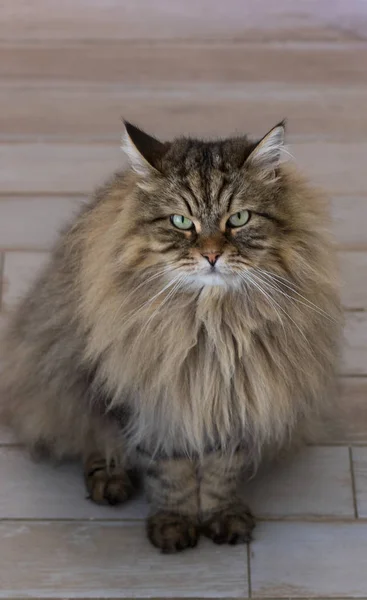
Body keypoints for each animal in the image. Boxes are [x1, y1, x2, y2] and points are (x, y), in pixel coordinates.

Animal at [0, 120, 342, 552]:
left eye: (239, 218)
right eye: (181, 222)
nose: (211, 255)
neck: (213, 328)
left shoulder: (235, 400)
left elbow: (220, 473)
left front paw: (222, 518)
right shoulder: (153, 405)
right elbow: (170, 475)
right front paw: (174, 526)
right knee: (90, 436)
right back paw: (109, 479)